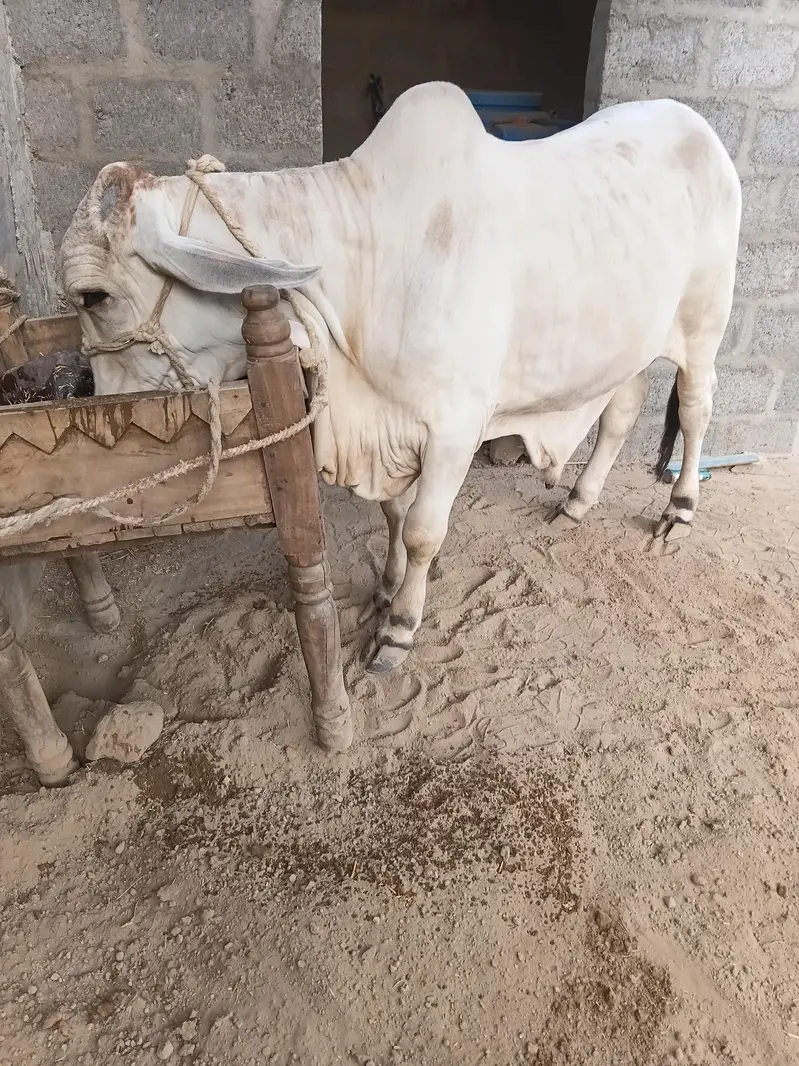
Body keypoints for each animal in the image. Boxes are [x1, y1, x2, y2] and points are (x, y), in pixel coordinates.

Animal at [60, 82, 742, 673]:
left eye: (93, 297)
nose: (103, 408)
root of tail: (698, 126)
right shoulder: (391, 425)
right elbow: (391, 514)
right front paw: (386, 589)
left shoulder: (455, 429)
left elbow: (422, 532)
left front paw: (399, 631)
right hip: (631, 338)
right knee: (623, 407)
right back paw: (577, 500)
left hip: (704, 323)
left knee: (697, 405)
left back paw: (680, 506)